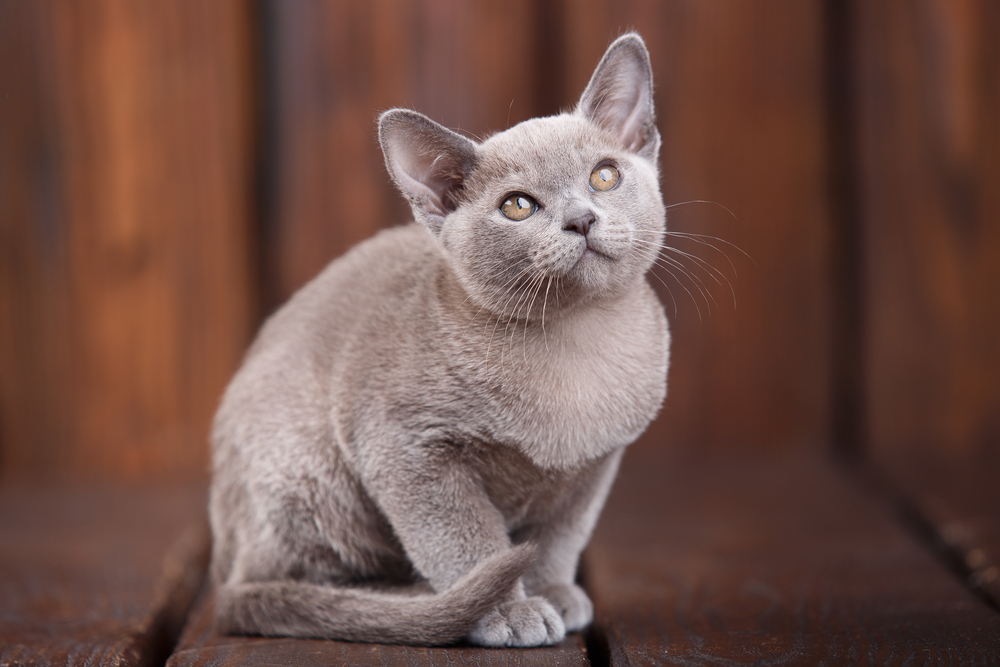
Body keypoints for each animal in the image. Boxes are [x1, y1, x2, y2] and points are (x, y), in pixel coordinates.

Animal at [208, 31, 668, 648]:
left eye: (604, 176)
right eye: (517, 206)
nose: (581, 219)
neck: (576, 343)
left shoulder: (591, 470)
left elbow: (558, 539)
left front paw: (552, 592)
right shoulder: (407, 449)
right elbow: (467, 541)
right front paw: (508, 611)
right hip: (309, 474)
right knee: (289, 585)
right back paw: (416, 600)